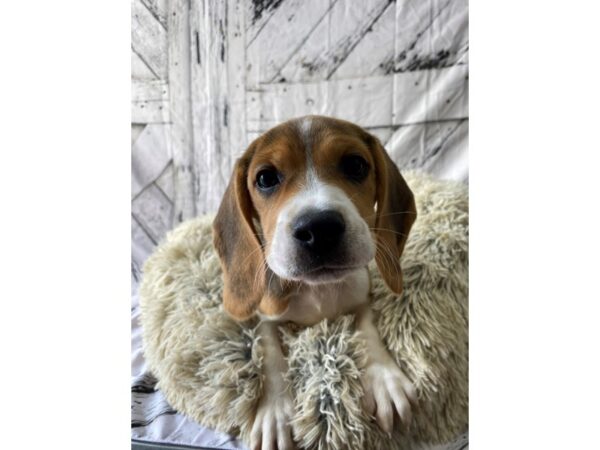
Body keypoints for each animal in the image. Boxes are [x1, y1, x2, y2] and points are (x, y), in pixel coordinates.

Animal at [214, 116, 418, 450]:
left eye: (355, 165)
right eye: (266, 178)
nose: (319, 228)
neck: (317, 289)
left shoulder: (362, 294)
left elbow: (367, 328)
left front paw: (385, 378)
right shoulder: (264, 317)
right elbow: (270, 352)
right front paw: (274, 411)